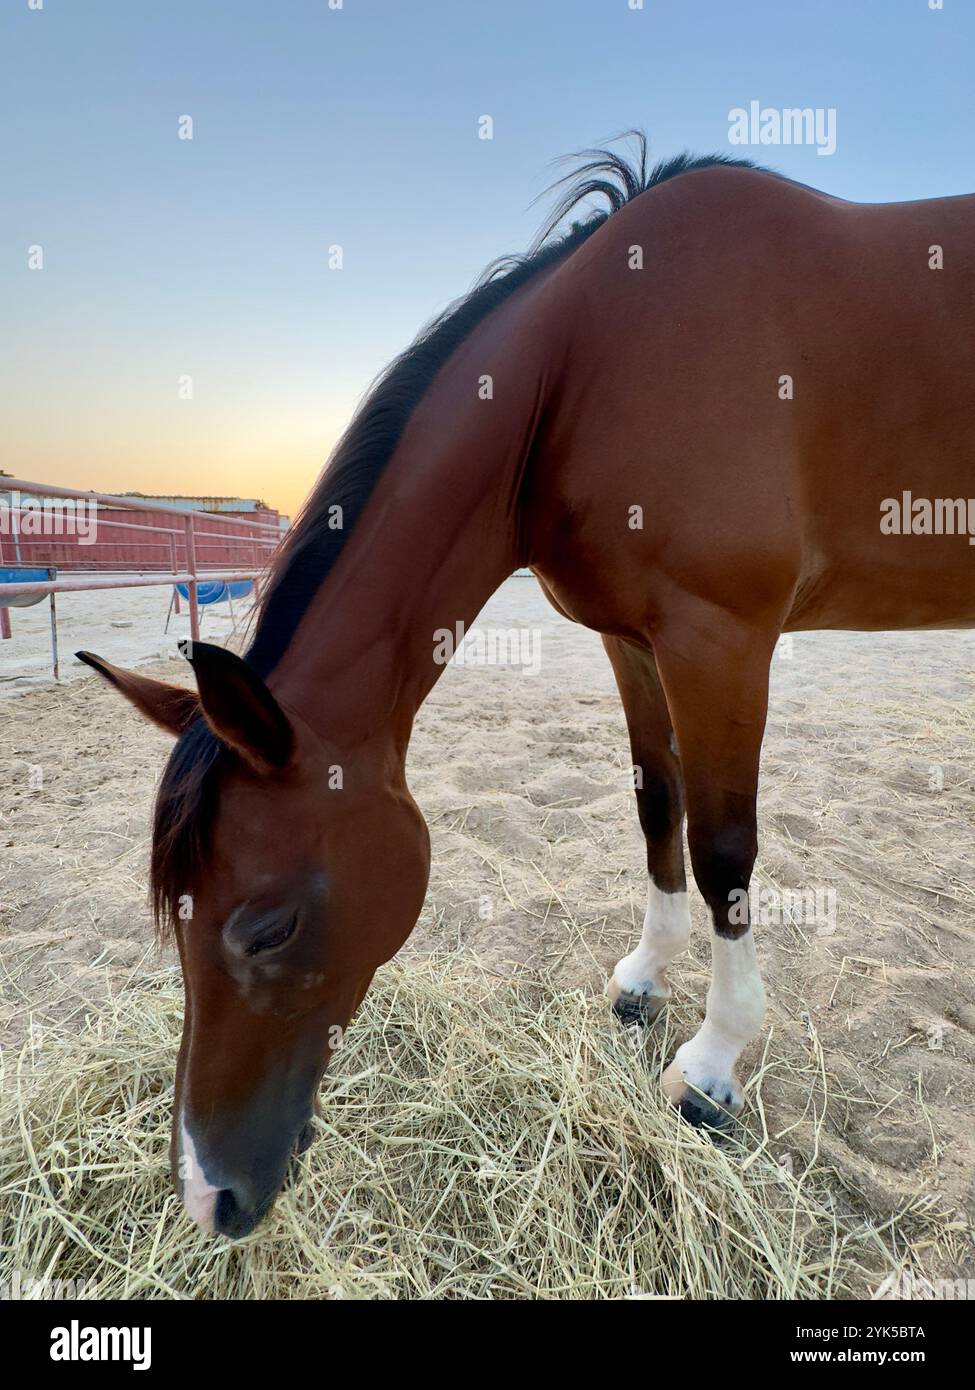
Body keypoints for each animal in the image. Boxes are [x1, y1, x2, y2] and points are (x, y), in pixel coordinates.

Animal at [78, 136, 975, 1238]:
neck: (592, 360)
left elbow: (723, 849)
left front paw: (712, 1066)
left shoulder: (719, 638)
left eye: (268, 927)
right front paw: (644, 980)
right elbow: (657, 804)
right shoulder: (637, 641)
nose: (209, 1195)